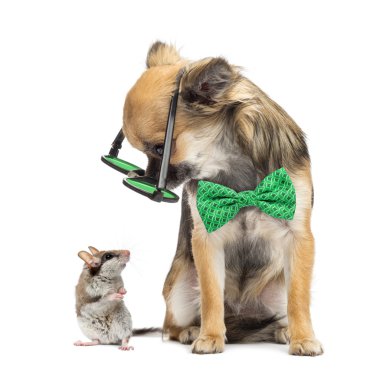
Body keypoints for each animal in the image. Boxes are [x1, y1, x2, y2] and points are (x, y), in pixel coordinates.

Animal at [122, 40, 324, 354]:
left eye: (160, 148)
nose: (145, 178)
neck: (231, 164)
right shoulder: (207, 239)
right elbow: (211, 297)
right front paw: (210, 337)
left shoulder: (298, 236)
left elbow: (299, 300)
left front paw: (303, 338)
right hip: (179, 284)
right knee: (170, 326)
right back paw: (191, 330)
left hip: (277, 286)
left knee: (279, 313)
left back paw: (284, 330)